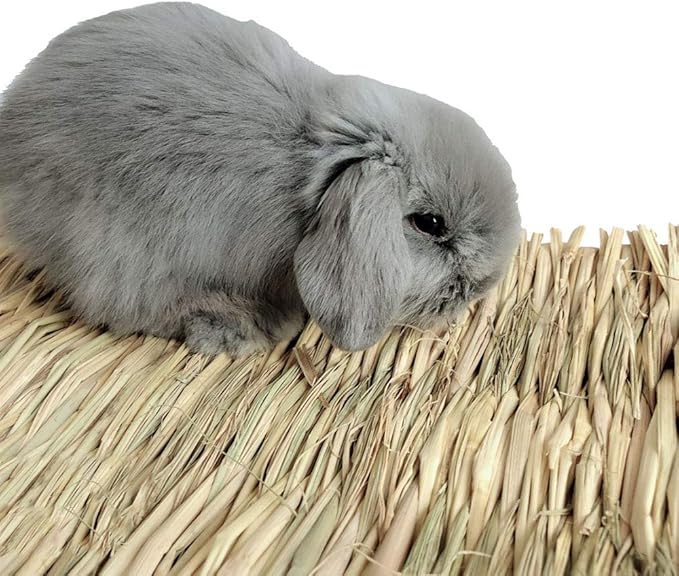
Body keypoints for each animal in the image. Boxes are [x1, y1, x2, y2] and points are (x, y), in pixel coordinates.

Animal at [0, 2, 521, 357]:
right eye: (430, 224)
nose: (482, 287)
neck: (314, 169)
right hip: (114, 248)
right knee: (125, 306)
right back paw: (240, 326)